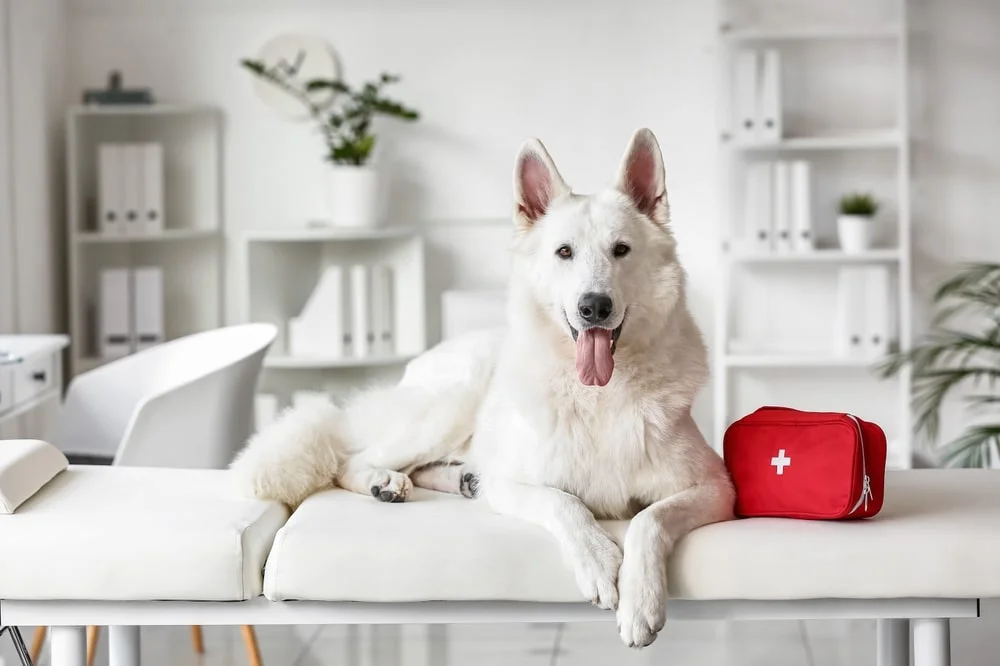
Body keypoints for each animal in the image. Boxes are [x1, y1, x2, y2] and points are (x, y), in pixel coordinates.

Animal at [232, 127, 736, 644]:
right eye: (564, 252)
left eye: (621, 250)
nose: (594, 306)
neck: (598, 395)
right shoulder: (512, 483)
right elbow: (564, 502)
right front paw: (597, 561)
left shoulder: (716, 488)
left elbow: (648, 520)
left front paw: (642, 601)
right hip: (451, 405)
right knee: (350, 460)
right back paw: (383, 482)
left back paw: (455, 480)